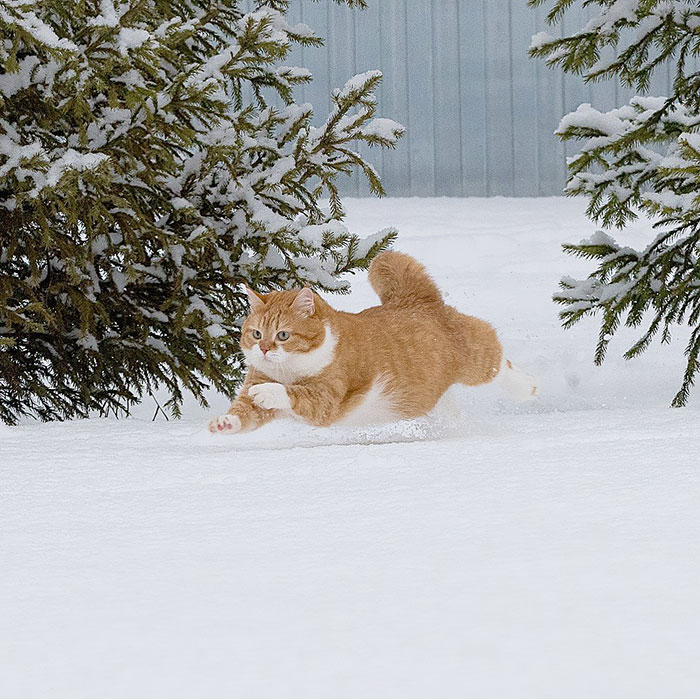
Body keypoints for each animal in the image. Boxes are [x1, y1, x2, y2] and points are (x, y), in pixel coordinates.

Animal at [208, 249, 536, 434]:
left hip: (476, 358)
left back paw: (528, 388)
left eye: (283, 335)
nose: (263, 349)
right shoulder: (254, 387)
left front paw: (269, 391)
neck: (288, 369)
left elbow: (295, 394)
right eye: (256, 334)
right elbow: (244, 415)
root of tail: (416, 300)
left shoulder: (328, 398)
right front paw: (224, 423)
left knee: (498, 362)